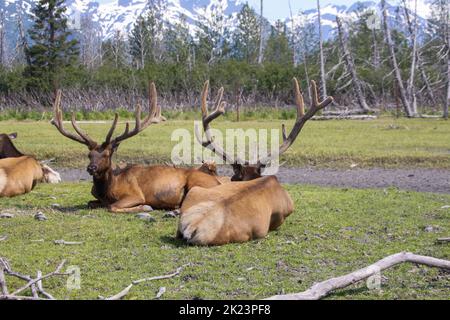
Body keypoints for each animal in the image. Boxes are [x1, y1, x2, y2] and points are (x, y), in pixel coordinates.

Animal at [51, 82, 222, 212]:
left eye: (106, 154)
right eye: (89, 155)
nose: (91, 168)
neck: (106, 191)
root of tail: (218, 182)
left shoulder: (135, 194)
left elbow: (113, 207)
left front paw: (145, 207)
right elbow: (90, 203)